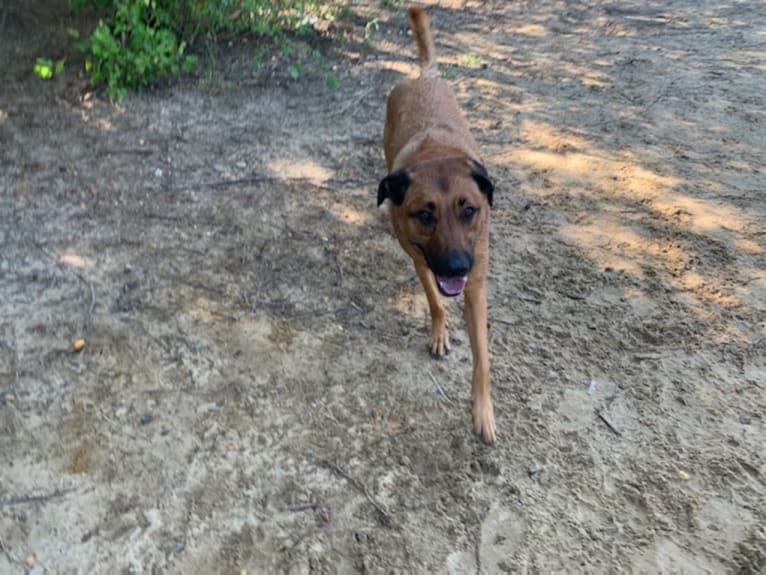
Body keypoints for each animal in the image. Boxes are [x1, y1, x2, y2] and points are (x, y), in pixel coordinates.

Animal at [380, 6, 498, 444]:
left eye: (469, 210)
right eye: (424, 214)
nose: (455, 266)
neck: (435, 153)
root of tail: (422, 76)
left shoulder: (476, 284)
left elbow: (482, 358)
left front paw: (483, 412)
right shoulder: (418, 257)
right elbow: (433, 300)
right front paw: (439, 332)